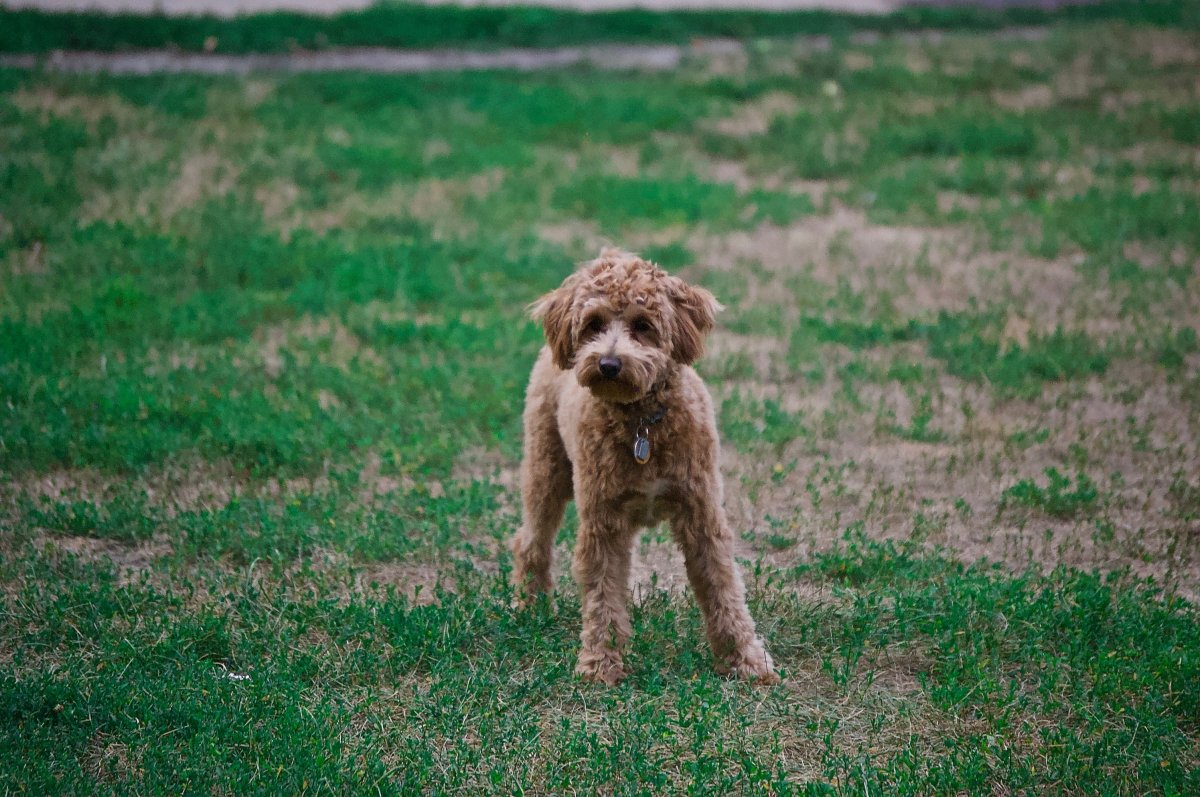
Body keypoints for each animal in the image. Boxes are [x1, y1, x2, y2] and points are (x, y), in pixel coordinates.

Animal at [508, 249, 777, 686]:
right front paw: (600, 663)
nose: (608, 364)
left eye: (643, 325)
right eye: (594, 324)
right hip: (546, 467)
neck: (641, 424)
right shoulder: (602, 522)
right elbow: (602, 595)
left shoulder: (701, 513)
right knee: (531, 539)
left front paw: (745, 659)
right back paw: (530, 605)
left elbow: (723, 588)